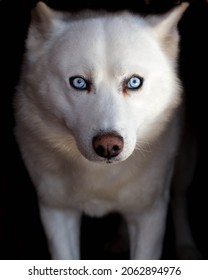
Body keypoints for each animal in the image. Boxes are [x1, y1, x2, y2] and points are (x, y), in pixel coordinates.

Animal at [13, 1, 191, 260]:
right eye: (78, 82)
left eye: (134, 82)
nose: (108, 146)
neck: (100, 177)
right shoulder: (55, 210)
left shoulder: (150, 214)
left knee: (179, 198)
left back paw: (187, 247)